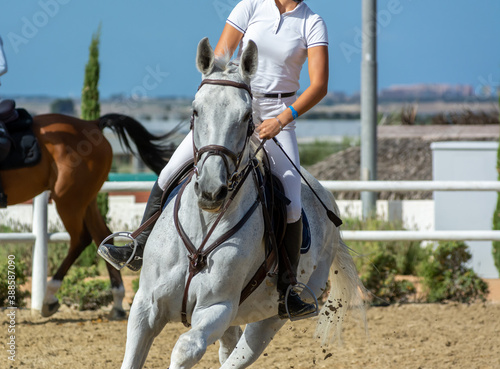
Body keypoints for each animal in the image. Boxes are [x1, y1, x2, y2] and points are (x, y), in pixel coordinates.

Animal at [0, 112, 176, 316]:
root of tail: (93, 124)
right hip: (86, 199)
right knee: (102, 234)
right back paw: (117, 301)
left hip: (67, 198)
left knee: (81, 239)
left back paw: (50, 296)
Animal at [120, 38, 364, 368]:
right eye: (196, 110)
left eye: (247, 117)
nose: (212, 191)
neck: (203, 229)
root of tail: (329, 204)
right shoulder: (145, 308)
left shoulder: (217, 309)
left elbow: (185, 348)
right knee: (228, 349)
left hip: (269, 318)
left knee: (240, 354)